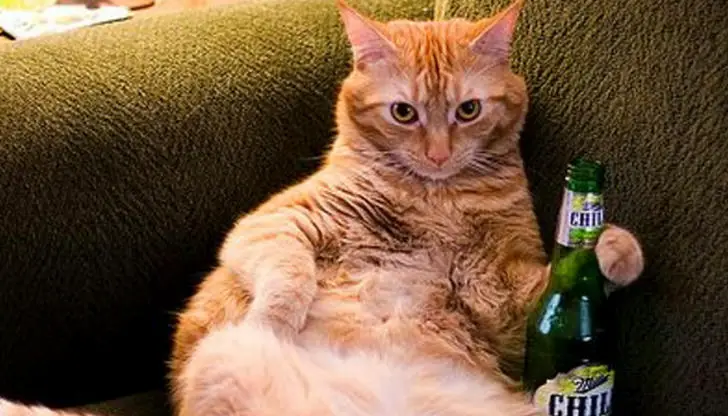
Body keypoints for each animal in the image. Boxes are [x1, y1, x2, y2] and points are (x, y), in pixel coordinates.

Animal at [0, 0, 644, 415]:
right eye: (403, 113)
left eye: (468, 111)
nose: (438, 154)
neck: (435, 199)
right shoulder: (271, 226)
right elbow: (291, 276)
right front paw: (276, 323)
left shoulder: (506, 307)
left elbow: (563, 285)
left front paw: (613, 248)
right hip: (220, 355)